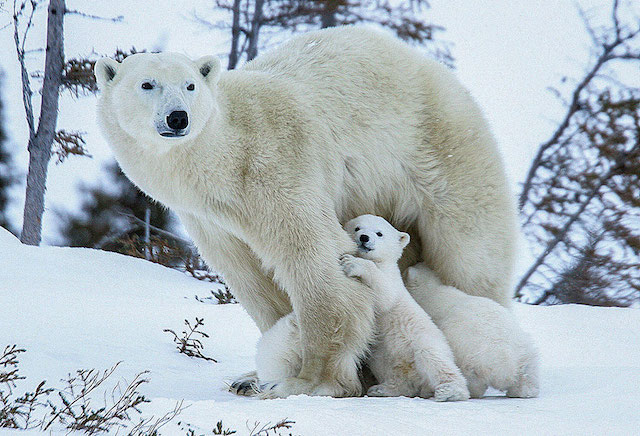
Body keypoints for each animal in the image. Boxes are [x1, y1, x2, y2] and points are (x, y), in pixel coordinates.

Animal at [255, 215, 470, 402]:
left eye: (379, 233)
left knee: (435, 360)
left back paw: (450, 391)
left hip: (422, 341)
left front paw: (352, 263)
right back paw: (383, 389)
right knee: (398, 376)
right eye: (357, 227)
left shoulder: (392, 280)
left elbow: (384, 295)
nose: (364, 238)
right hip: (386, 359)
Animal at [408, 262, 536, 398]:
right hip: (525, 350)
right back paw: (523, 391)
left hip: (472, 356)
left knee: (472, 378)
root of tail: (507, 365)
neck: (432, 292)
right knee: (528, 373)